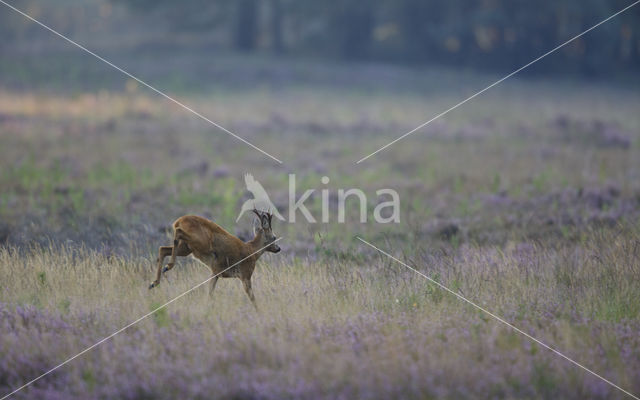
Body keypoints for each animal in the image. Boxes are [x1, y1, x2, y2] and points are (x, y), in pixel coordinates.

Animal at [151, 208, 282, 308]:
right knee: (177, 233)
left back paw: (154, 282)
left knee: (163, 249)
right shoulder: (245, 274)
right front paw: (258, 311)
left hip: (186, 248)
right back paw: (168, 267)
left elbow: (210, 293)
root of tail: (179, 220)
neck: (252, 251)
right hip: (200, 241)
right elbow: (252, 297)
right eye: (274, 237)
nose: (278, 248)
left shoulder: (215, 272)